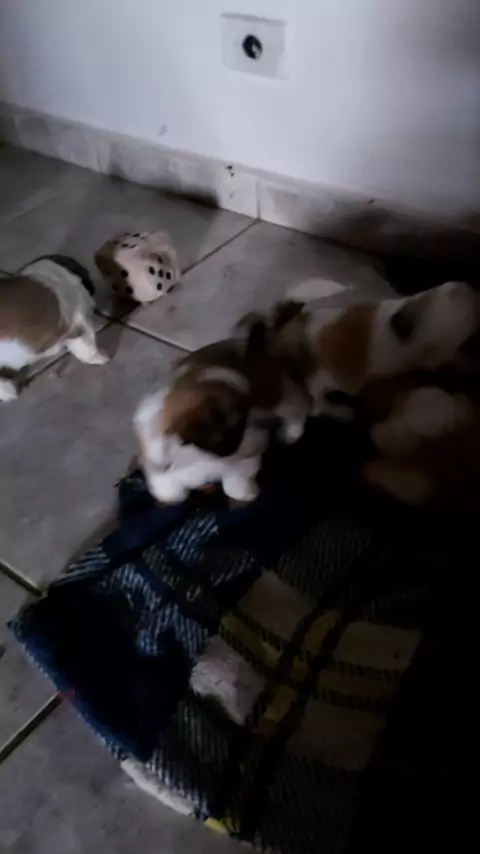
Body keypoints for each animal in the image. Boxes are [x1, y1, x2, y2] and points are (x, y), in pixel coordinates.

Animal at [134, 317, 312, 505]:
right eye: (238, 423)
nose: (266, 430)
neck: (195, 456)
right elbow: (168, 487)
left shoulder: (245, 459)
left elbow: (235, 478)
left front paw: (243, 491)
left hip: (278, 396)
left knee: (296, 406)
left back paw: (292, 431)